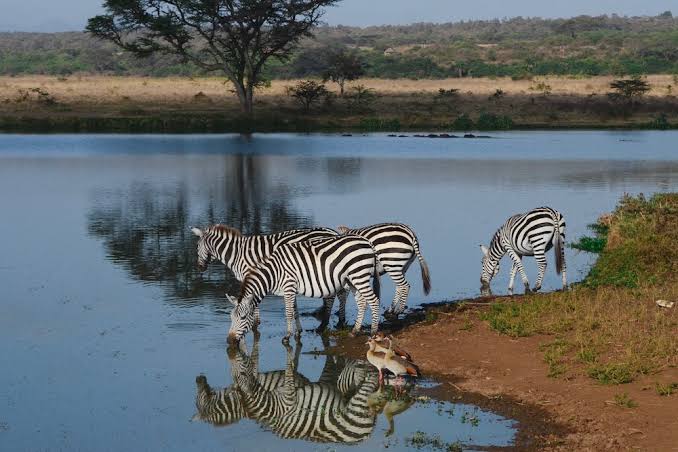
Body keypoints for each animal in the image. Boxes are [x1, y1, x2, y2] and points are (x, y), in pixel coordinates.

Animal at [191, 224, 346, 331]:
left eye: (197, 246)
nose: (199, 268)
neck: (237, 253)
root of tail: (333, 232)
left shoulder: (252, 274)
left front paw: (255, 323)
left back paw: (327, 321)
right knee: (340, 293)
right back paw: (338, 320)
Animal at [226, 234, 382, 344]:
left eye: (243, 317)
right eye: (231, 318)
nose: (229, 341)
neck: (274, 273)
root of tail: (368, 242)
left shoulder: (288, 287)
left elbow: (289, 313)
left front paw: (287, 336)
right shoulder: (291, 289)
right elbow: (295, 311)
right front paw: (298, 332)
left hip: (359, 275)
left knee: (374, 301)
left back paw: (373, 331)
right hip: (353, 280)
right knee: (362, 302)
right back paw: (355, 331)